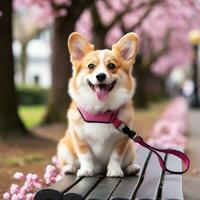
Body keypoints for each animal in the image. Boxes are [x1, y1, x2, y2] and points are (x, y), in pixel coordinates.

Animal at [57, 31, 140, 177]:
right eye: (91, 66)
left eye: (111, 66)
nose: (100, 76)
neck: (101, 111)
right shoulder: (79, 138)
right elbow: (86, 155)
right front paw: (86, 169)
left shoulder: (121, 140)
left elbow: (115, 156)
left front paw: (114, 170)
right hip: (64, 146)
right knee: (70, 162)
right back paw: (70, 168)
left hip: (130, 149)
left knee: (127, 162)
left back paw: (131, 168)